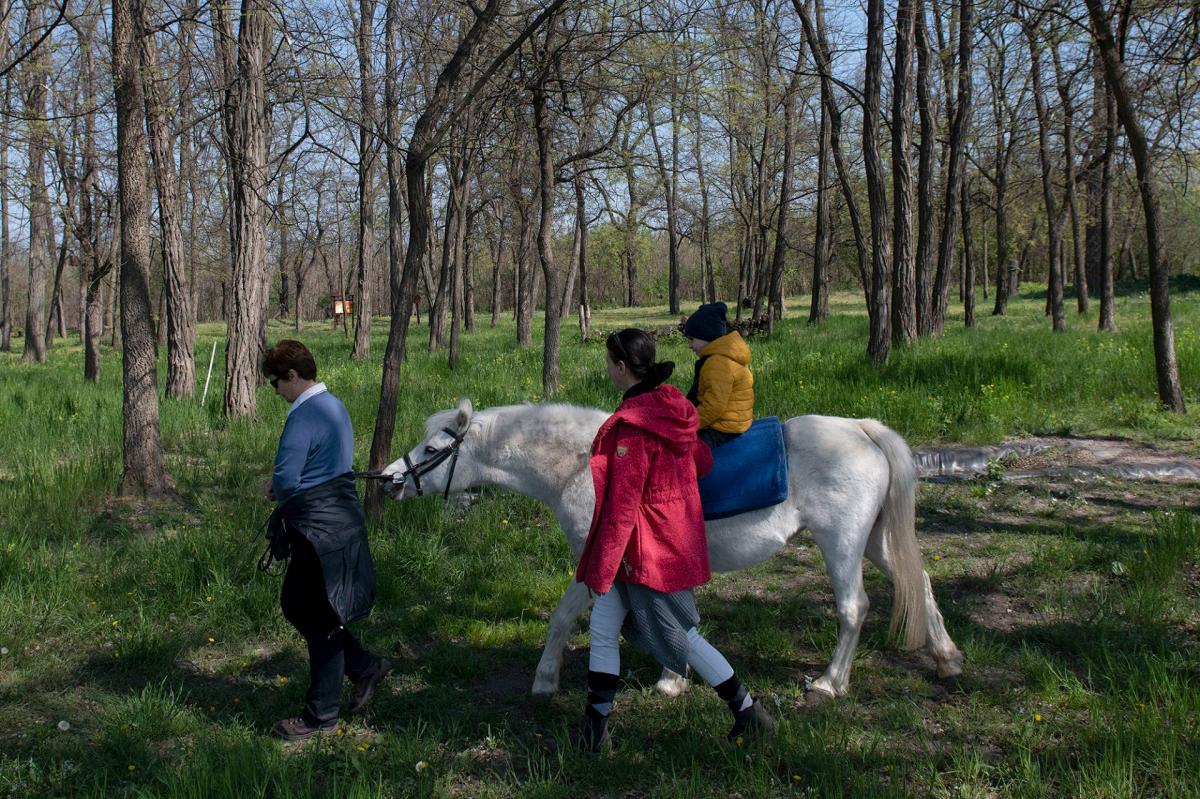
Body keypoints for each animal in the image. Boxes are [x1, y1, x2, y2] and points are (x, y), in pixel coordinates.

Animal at [384, 398, 964, 695]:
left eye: (433, 449)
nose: (389, 480)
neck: (584, 465)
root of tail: (863, 430)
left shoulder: (600, 562)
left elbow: (565, 618)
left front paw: (545, 680)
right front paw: (673, 676)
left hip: (841, 544)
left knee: (853, 608)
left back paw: (829, 682)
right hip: (874, 542)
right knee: (919, 582)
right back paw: (946, 658)